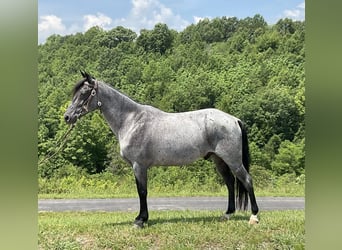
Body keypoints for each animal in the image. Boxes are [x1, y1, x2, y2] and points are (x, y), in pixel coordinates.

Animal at [64, 71, 260, 228]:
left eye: (84, 93)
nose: (67, 117)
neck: (132, 120)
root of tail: (234, 119)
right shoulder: (137, 166)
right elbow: (141, 191)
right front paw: (141, 218)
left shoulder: (139, 165)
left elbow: (142, 191)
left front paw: (140, 220)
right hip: (218, 159)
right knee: (230, 182)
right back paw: (227, 214)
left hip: (233, 160)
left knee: (247, 180)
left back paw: (254, 216)